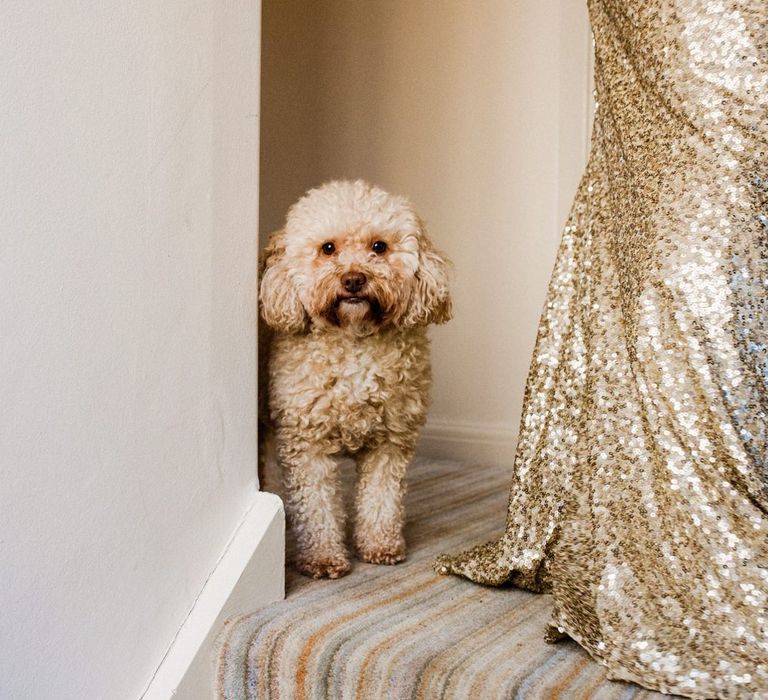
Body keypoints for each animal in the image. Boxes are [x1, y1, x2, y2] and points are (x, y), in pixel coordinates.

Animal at [260, 180, 450, 580]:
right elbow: (316, 508)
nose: (353, 279)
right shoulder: (306, 445)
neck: (354, 341)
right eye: (327, 248)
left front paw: (380, 546)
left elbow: (381, 500)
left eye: (379, 247)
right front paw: (322, 558)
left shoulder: (390, 443)